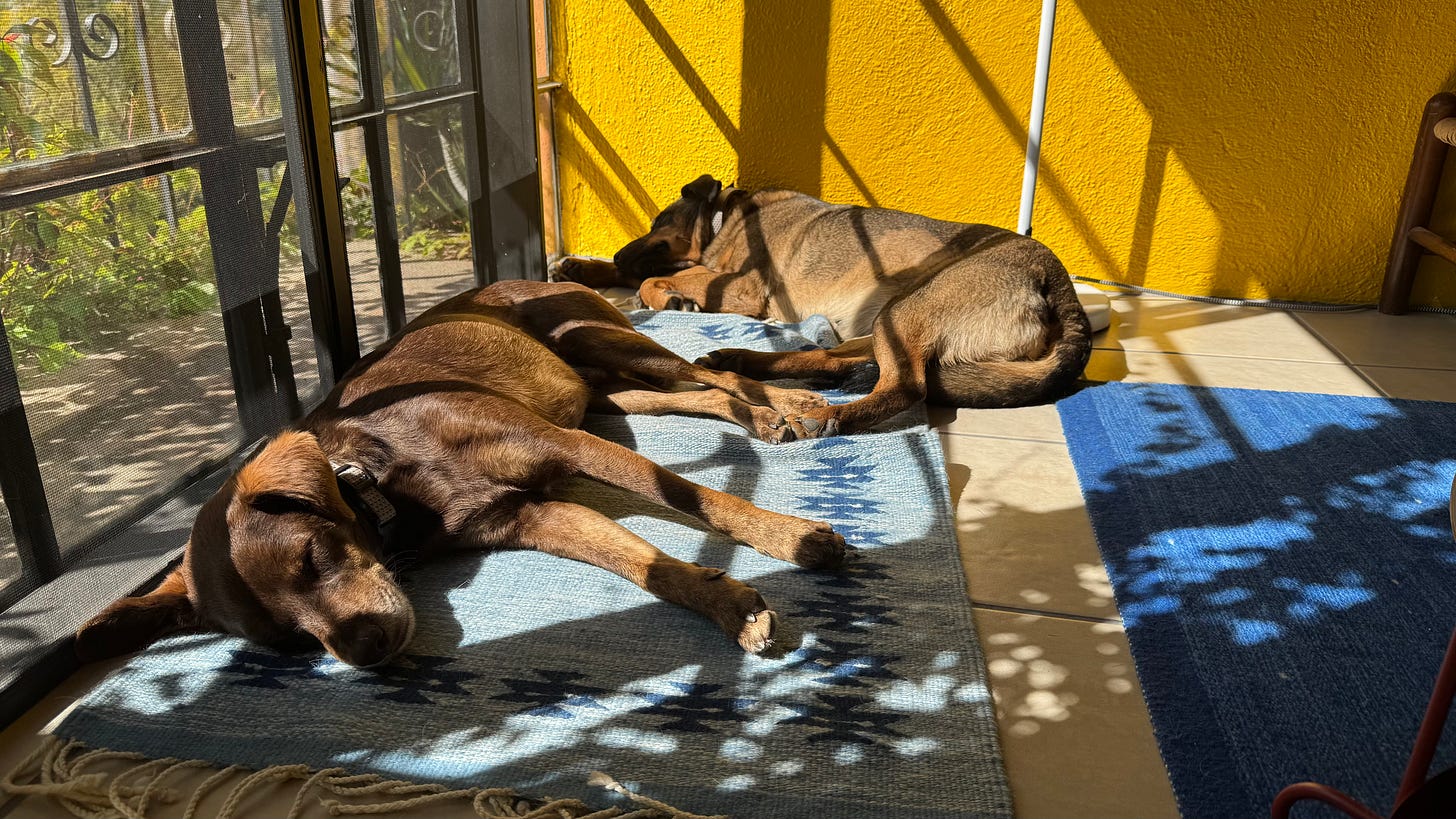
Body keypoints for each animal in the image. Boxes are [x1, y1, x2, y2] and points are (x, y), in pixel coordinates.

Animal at [76, 278, 850, 664]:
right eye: (290, 641)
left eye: (314, 556)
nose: (365, 652)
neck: (387, 478)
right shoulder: (535, 513)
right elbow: (647, 567)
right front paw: (731, 605)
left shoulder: (568, 446)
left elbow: (697, 497)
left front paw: (789, 537)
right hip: (605, 389)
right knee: (699, 393)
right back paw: (768, 415)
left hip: (600, 342)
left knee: (710, 372)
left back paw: (793, 406)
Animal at [556, 175, 1094, 437]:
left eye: (658, 221)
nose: (618, 252)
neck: (728, 217)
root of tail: (1060, 285)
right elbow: (638, 274)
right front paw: (580, 268)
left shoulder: (740, 287)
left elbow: (656, 277)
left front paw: (669, 296)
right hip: (888, 318)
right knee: (838, 360)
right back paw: (742, 359)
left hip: (906, 311)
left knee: (904, 385)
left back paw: (833, 417)